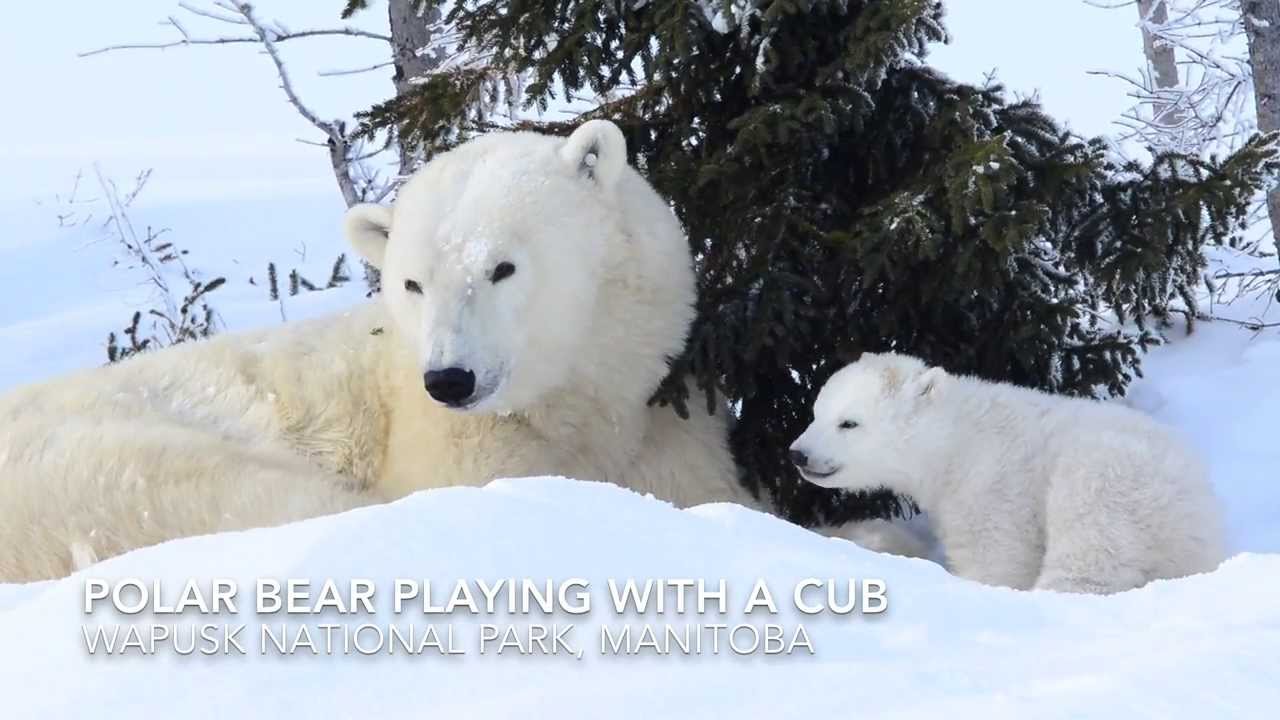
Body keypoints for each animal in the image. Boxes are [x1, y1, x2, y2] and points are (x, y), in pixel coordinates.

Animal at [0, 121, 751, 582]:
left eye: (502, 267)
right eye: (412, 282)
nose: (450, 379)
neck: (585, 407)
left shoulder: (671, 421)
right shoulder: (460, 448)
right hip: (112, 475)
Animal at [788, 352, 1227, 594]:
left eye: (849, 423)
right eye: (816, 412)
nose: (798, 454)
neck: (955, 441)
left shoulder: (990, 485)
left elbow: (997, 556)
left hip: (1111, 477)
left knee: (1091, 548)